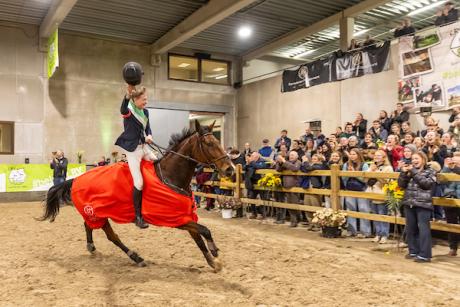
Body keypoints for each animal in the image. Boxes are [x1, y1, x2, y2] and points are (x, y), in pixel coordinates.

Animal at [38, 121, 234, 274]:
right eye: (208, 143)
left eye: (218, 141)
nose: (230, 169)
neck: (170, 177)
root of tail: (77, 178)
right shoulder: (175, 219)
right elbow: (205, 230)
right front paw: (215, 252)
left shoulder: (184, 216)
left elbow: (199, 238)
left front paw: (213, 262)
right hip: (97, 212)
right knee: (111, 236)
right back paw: (135, 257)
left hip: (96, 212)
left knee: (89, 226)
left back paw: (93, 247)